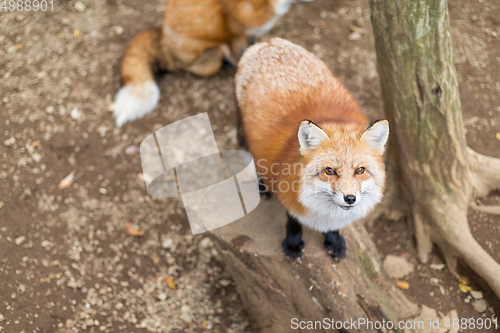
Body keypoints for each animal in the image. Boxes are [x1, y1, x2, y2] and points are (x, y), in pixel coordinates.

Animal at [235, 38, 390, 260]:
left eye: (360, 170)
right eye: (329, 171)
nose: (350, 198)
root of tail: (268, 42)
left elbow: (334, 227)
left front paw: (333, 240)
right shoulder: (289, 195)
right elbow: (293, 223)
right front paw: (293, 244)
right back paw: (263, 186)